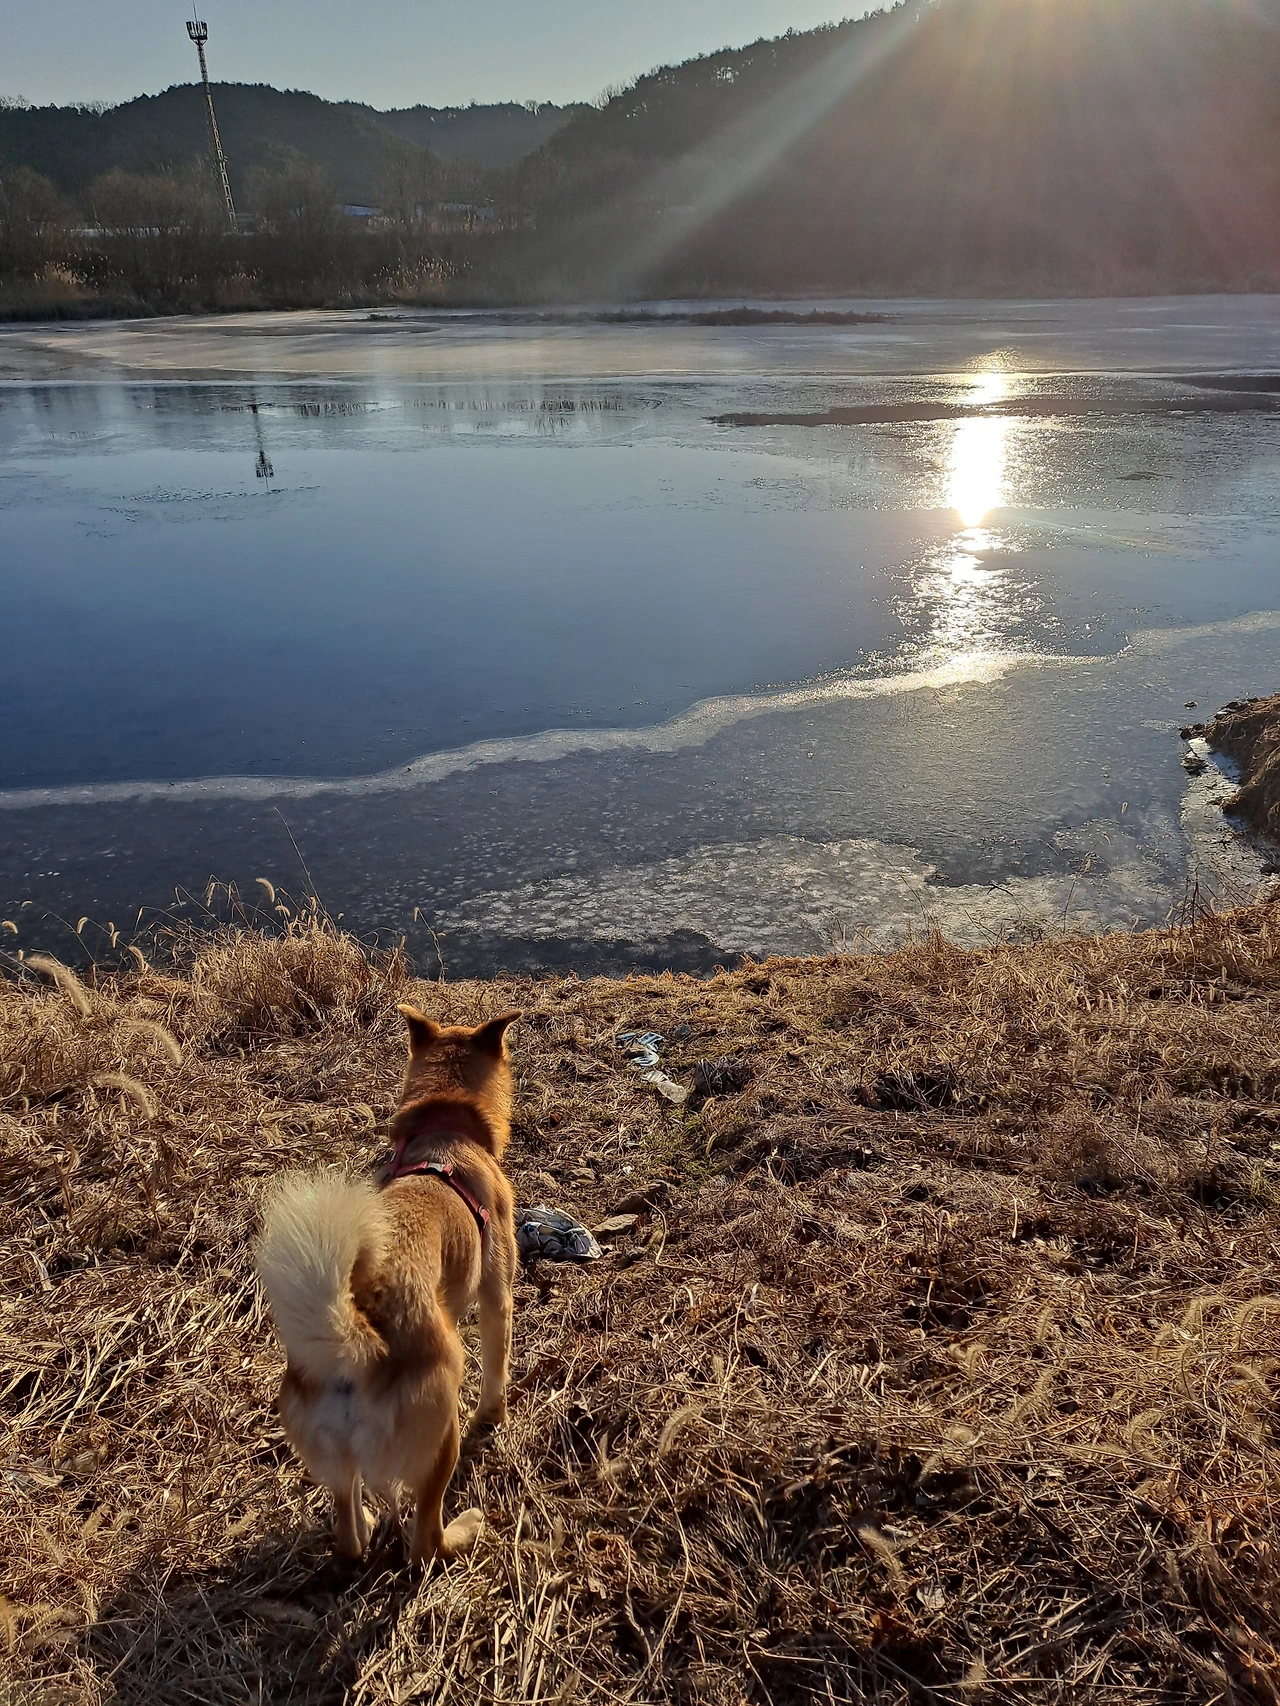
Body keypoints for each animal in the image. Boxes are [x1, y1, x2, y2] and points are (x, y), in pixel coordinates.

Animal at [256, 1004, 520, 1567]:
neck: (445, 1131)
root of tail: (354, 1346)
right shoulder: (496, 1293)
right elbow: (497, 1367)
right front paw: (494, 1416)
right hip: (441, 1432)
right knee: (425, 1540)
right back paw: (463, 1530)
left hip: (334, 1459)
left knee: (349, 1534)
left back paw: (367, 1527)